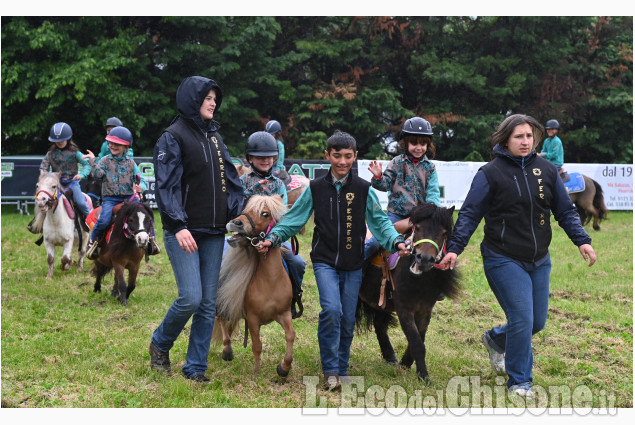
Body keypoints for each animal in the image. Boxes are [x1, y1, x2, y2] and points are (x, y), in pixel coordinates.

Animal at [211, 194, 296, 376]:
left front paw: (284, 367)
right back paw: (227, 351)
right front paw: (256, 373)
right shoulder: (252, 318)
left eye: (265, 214)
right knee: (221, 318)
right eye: (245, 209)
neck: (271, 281)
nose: (236, 223)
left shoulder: (284, 313)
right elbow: (257, 345)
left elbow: (291, 335)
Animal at [358, 202, 462, 380]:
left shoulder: (425, 310)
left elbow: (419, 339)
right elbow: (416, 342)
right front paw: (424, 377)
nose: (424, 259)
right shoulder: (404, 309)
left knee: (380, 325)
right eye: (418, 228)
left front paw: (406, 364)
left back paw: (390, 357)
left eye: (443, 233)